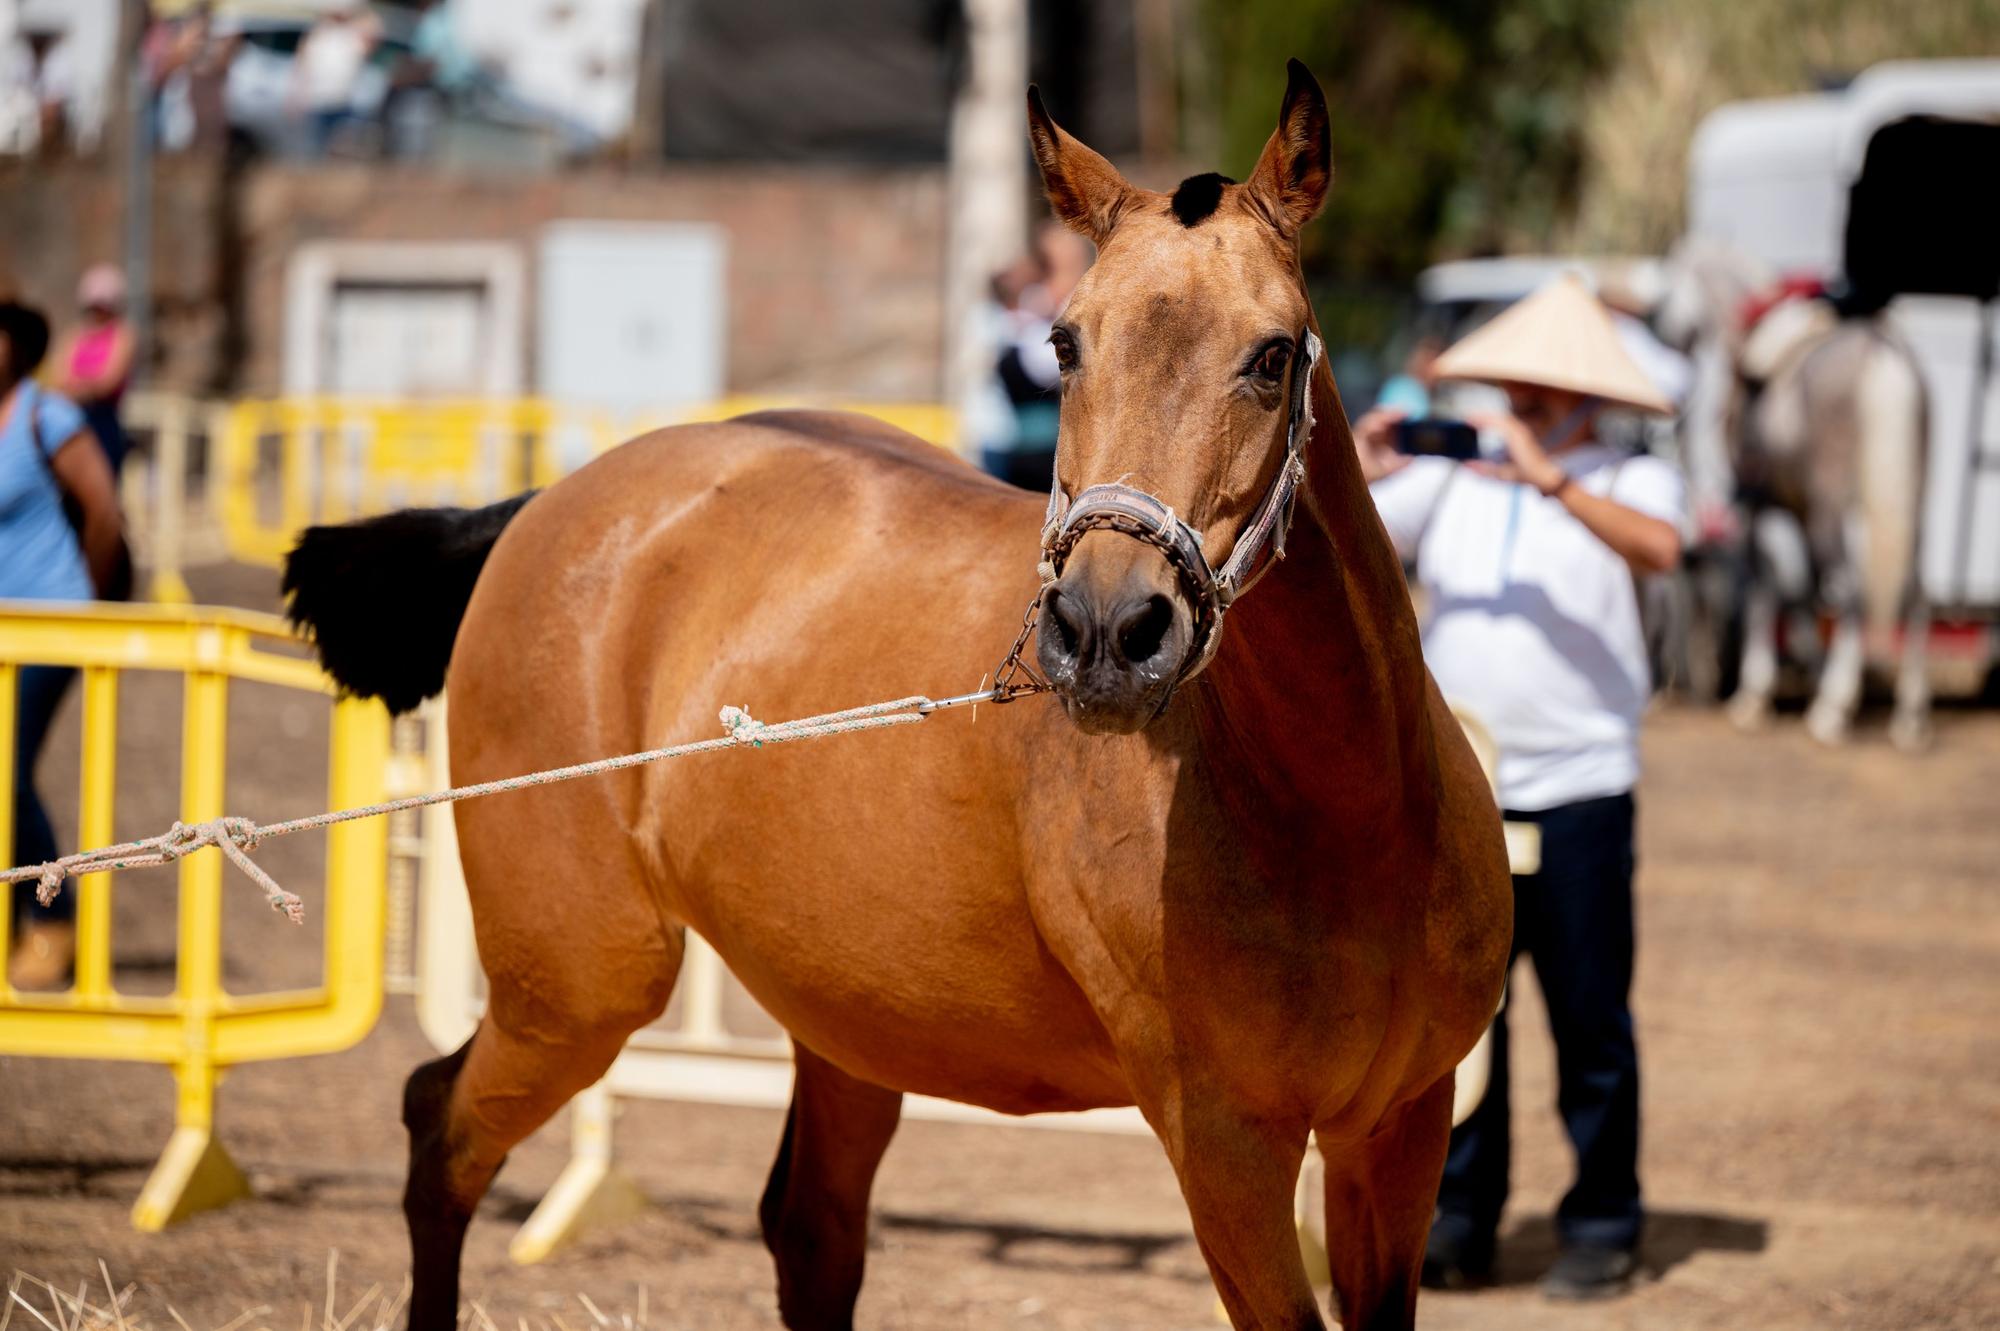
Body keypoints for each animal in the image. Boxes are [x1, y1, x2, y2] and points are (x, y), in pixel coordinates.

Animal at [278, 62, 1504, 1327]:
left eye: (1272, 354)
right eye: (1062, 343)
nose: (1105, 632)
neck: (1342, 824)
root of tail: (550, 502)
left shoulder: (1396, 1132)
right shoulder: (1224, 1147)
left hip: (842, 1014)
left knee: (807, 1230)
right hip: (575, 985)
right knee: (441, 1130)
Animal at [1648, 232, 1928, 739]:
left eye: (1667, 319)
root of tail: (1882, 357)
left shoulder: (1758, 508)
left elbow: (1769, 589)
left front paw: (1754, 694)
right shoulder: (1791, 510)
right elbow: (1800, 594)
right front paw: (1808, 669)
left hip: (1830, 510)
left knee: (1850, 590)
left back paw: (1833, 708)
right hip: (1908, 502)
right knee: (1913, 591)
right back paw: (1909, 718)